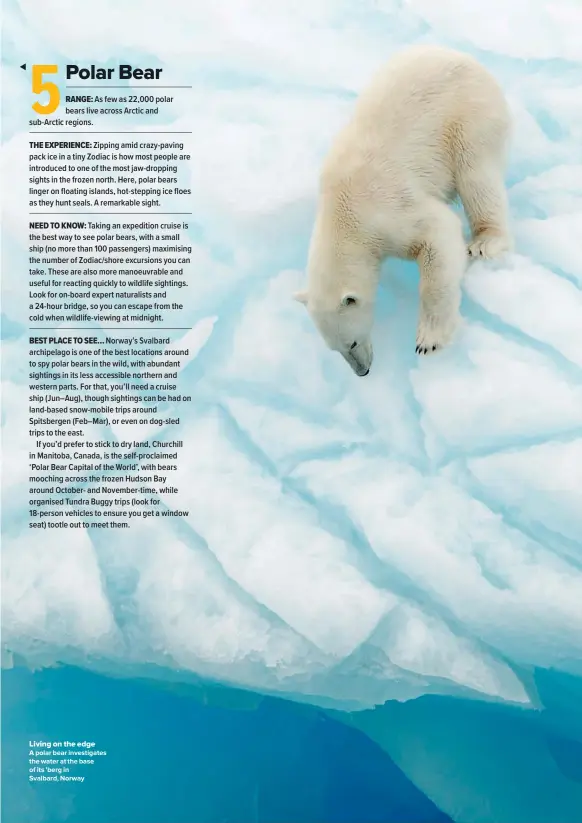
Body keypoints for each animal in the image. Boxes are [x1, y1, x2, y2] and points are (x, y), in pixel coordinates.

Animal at [294, 41, 512, 370]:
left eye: (351, 342)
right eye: (336, 349)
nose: (363, 371)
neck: (340, 211)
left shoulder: (386, 210)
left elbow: (438, 234)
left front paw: (429, 340)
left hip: (469, 115)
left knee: (476, 174)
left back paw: (485, 241)